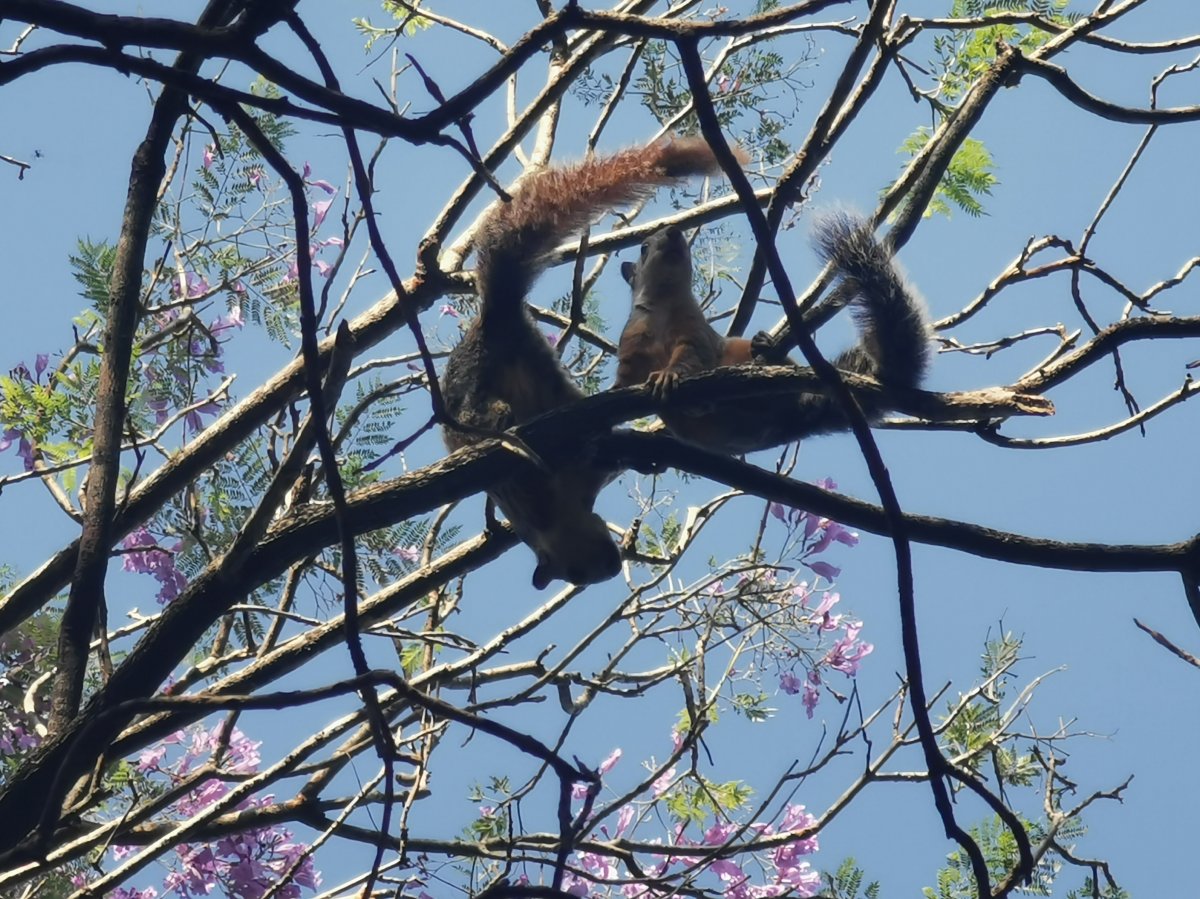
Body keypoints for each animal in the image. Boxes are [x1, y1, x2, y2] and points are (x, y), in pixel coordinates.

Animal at [441, 137, 733, 588]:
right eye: (576, 573)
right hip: (537, 372)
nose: (612, 567)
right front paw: (641, 459)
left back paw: (502, 422)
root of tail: (494, 320)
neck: (564, 508)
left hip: (486, 374)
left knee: (478, 409)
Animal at [614, 213, 930, 454]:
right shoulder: (632, 342)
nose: (675, 231)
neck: (666, 300)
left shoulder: (696, 332)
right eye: (643, 247)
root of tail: (797, 416)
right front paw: (613, 391)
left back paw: (764, 349)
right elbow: (625, 375)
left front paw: (669, 375)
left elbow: (691, 356)